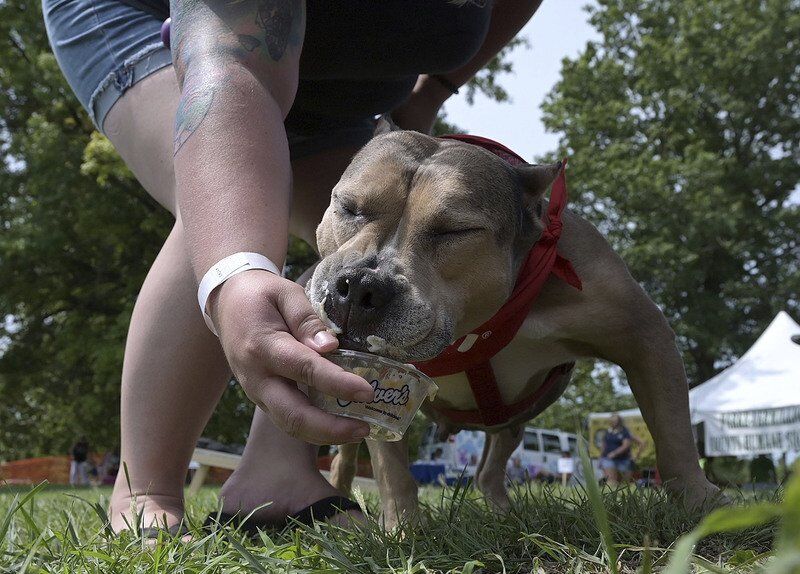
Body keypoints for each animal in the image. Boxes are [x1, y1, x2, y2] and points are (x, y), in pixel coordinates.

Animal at [306, 125, 720, 528]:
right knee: (346, 453)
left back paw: (503, 515)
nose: (361, 285)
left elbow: (673, 431)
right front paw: (404, 532)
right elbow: (392, 469)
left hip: (511, 418)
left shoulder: (645, 335)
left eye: (455, 231)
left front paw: (700, 501)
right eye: (349, 208)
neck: (479, 324)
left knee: (488, 470)